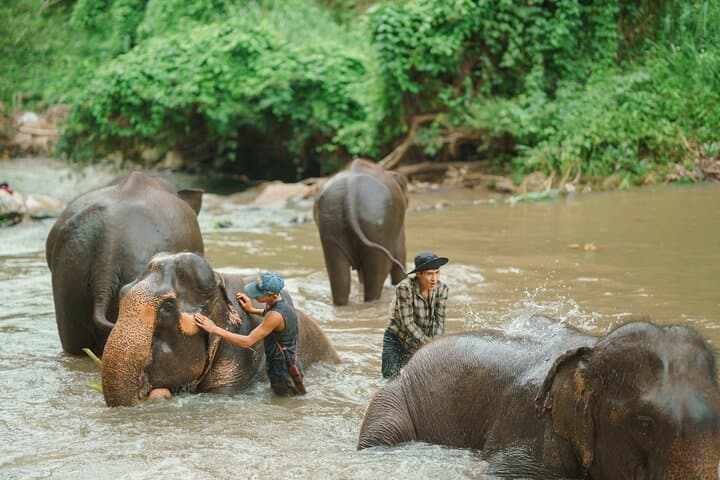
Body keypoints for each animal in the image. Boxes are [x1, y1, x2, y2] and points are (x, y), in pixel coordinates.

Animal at [313, 158, 408, 306]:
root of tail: (350, 197)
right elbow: (400, 253)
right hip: (379, 226)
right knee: (376, 275)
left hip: (330, 224)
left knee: (340, 276)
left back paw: (341, 304)